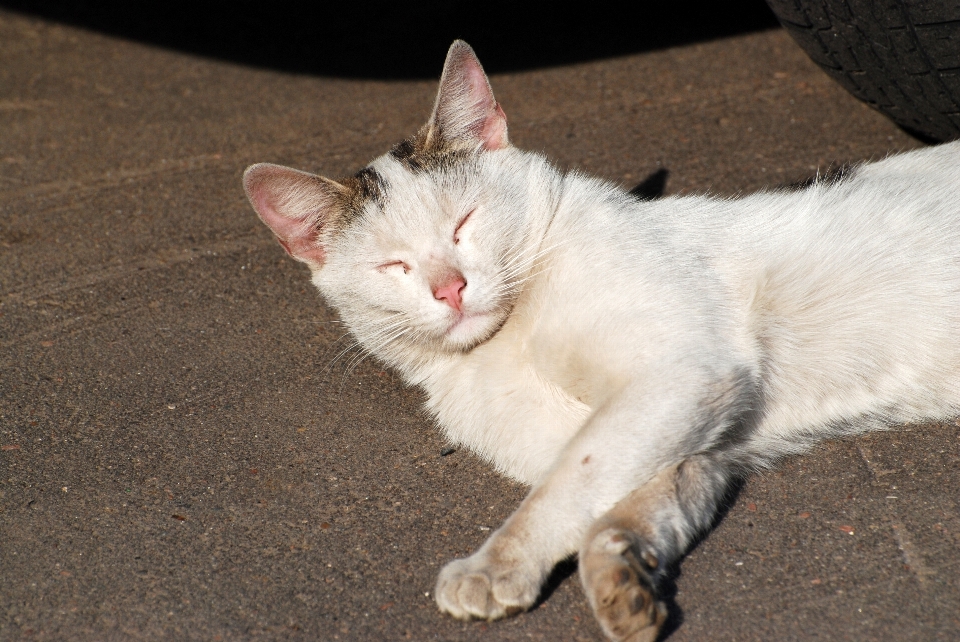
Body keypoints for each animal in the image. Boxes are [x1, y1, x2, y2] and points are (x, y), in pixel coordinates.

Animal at [242, 40, 960, 640]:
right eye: (392, 266)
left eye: (464, 224)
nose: (450, 288)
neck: (502, 349)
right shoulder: (701, 450)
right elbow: (614, 508)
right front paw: (622, 578)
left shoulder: (682, 375)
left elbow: (568, 480)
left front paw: (496, 563)